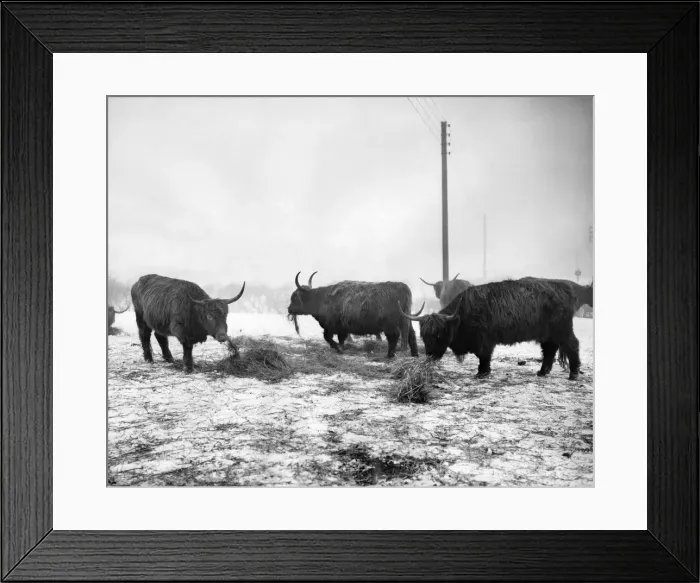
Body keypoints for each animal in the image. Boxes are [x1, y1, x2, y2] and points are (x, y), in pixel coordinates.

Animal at [287, 271, 421, 358]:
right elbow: (341, 339)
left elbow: (328, 338)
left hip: (390, 325)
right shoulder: (342, 328)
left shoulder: (331, 326)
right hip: (406, 320)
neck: (322, 299)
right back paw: (414, 354)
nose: (289, 309)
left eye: (294, 297)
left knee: (394, 336)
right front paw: (341, 348)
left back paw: (390, 355)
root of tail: (402, 286)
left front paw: (338, 348)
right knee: (411, 334)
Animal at [401, 277, 582, 381]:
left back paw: (573, 374)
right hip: (547, 334)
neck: (462, 315)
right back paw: (542, 372)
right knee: (549, 349)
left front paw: (482, 373)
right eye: (424, 335)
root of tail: (563, 288)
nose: (430, 355)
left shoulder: (484, 340)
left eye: (438, 334)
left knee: (572, 345)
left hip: (562, 329)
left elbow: (483, 356)